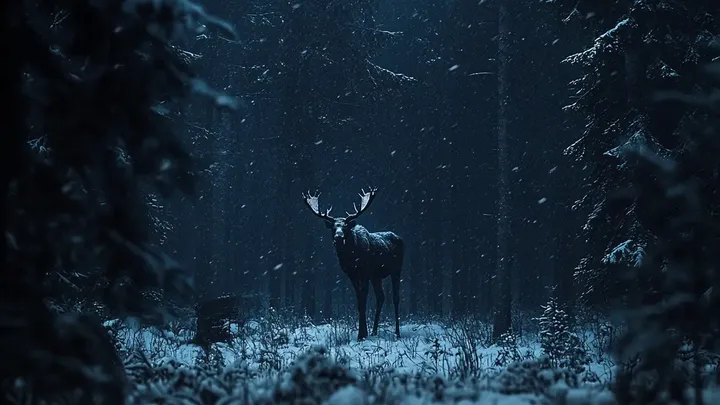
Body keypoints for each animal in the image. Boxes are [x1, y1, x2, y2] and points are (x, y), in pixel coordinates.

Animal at [302, 188, 404, 341]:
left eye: (345, 227)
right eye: (333, 227)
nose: (338, 238)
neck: (352, 258)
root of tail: (399, 238)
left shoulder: (365, 273)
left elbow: (363, 299)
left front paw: (362, 334)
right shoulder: (351, 275)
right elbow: (358, 300)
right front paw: (363, 333)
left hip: (396, 269)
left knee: (395, 297)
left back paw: (397, 333)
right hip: (377, 276)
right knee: (381, 297)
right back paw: (374, 331)